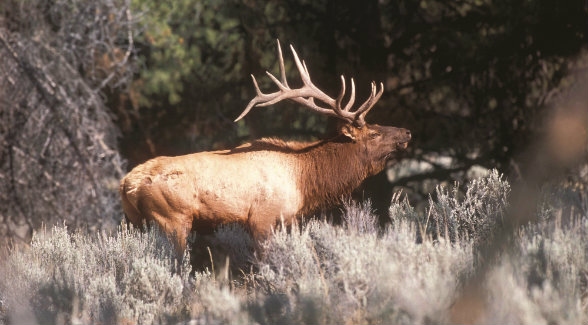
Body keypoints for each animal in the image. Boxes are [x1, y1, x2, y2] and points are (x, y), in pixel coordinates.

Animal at [119, 40, 412, 252]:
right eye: (373, 133)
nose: (406, 132)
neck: (303, 180)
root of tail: (127, 184)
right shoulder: (263, 218)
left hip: (134, 222)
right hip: (172, 219)